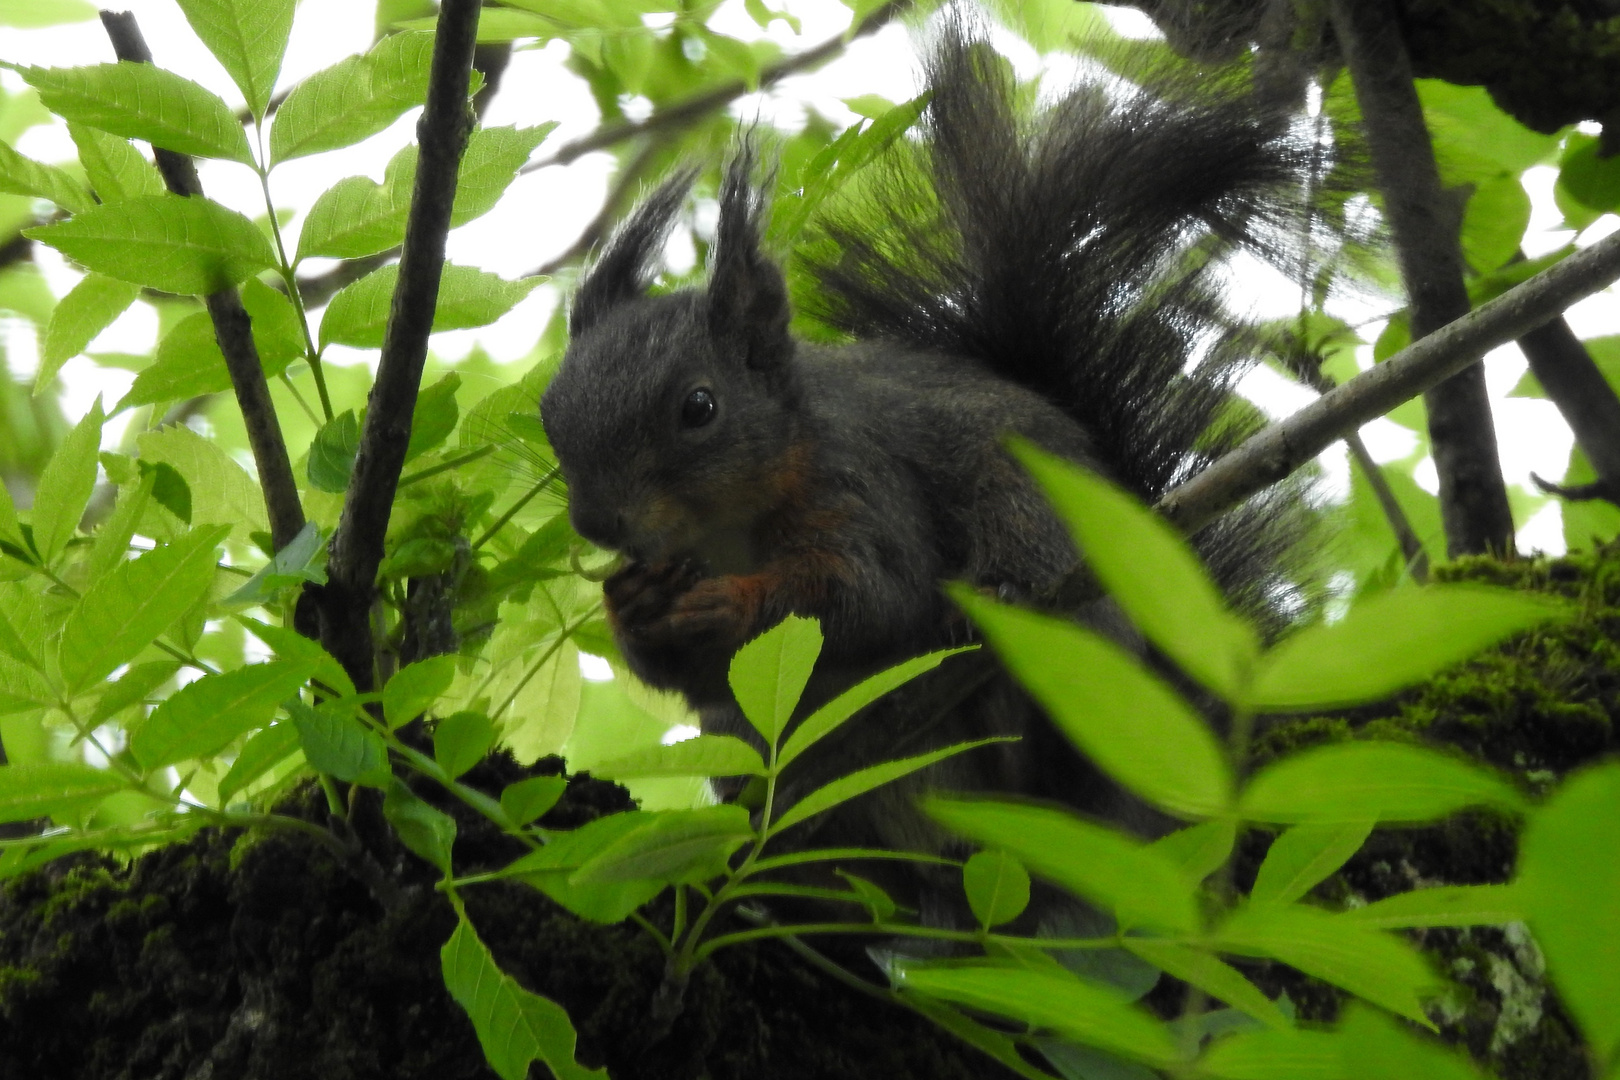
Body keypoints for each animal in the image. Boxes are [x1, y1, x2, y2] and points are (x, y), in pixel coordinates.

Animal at [537, 19, 1321, 880]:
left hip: (1050, 572)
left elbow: (870, 593)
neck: (727, 525)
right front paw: (633, 605)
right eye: (550, 412)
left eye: (699, 407)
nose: (598, 524)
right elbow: (690, 677)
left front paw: (731, 602)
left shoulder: (860, 482)